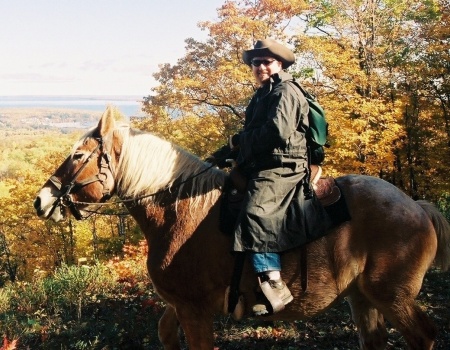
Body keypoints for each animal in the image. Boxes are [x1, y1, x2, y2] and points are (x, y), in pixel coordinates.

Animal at [34, 107, 450, 350]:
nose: (42, 200)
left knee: (423, 336)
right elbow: (165, 332)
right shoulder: (180, 305)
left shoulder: (195, 310)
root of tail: (417, 207)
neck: (181, 210)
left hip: (391, 296)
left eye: (77, 155)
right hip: (362, 297)